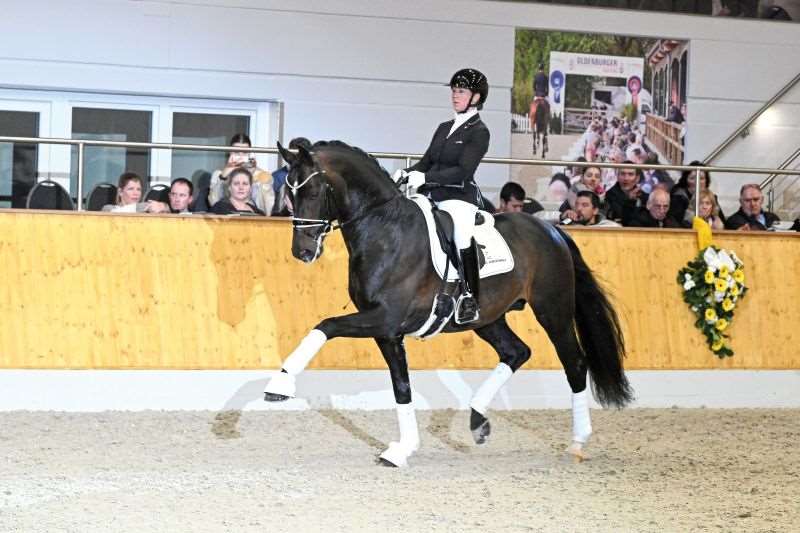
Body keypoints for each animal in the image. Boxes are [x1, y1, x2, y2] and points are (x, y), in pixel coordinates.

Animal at [264, 140, 633, 467]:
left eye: (312, 192)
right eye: (289, 194)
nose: (302, 252)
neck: (385, 229)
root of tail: (552, 230)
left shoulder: (384, 318)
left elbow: (325, 326)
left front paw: (280, 384)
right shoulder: (387, 331)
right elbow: (401, 387)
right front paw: (402, 451)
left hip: (552, 311)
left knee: (575, 364)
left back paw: (577, 442)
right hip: (489, 318)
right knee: (517, 352)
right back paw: (477, 421)